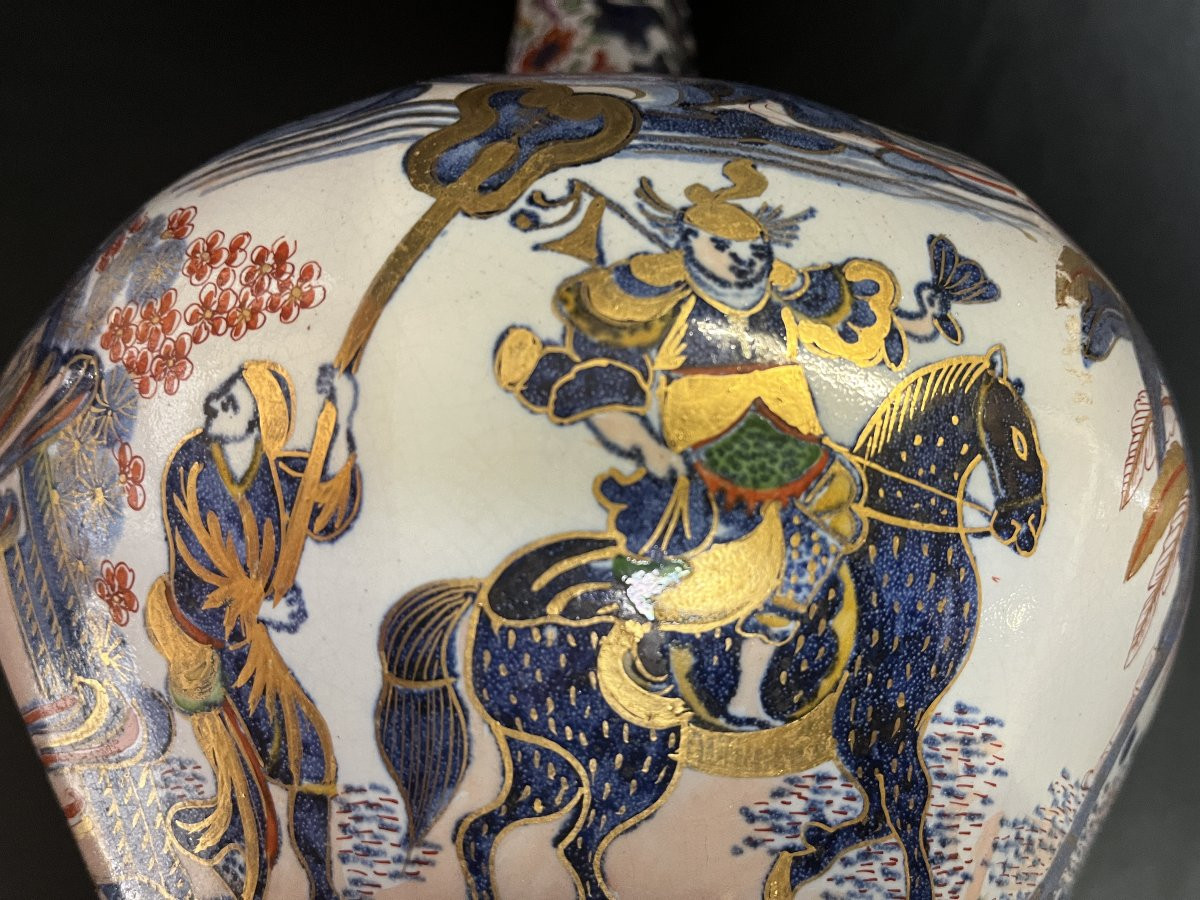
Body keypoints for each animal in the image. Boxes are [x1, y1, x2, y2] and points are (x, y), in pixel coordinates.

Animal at [376, 346, 1046, 899]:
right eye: (1017, 436)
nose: (1026, 525)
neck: (900, 548)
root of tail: (488, 598)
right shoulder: (879, 717)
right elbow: (904, 807)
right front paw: (801, 867)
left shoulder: (876, 726)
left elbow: (889, 811)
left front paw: (799, 858)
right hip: (630, 763)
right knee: (576, 849)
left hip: (547, 762)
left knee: (479, 832)